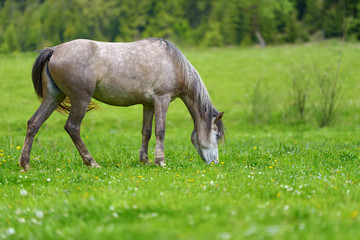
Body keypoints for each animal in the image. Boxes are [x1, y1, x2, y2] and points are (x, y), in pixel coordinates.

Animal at [19, 38, 225, 171]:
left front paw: (145, 160)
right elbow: (160, 130)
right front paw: (160, 161)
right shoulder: (162, 99)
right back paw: (92, 162)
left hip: (53, 98)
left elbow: (146, 132)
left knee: (34, 123)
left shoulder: (148, 104)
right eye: (216, 135)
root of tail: (53, 50)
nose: (215, 163)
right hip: (80, 99)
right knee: (72, 127)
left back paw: (25, 164)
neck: (174, 64)